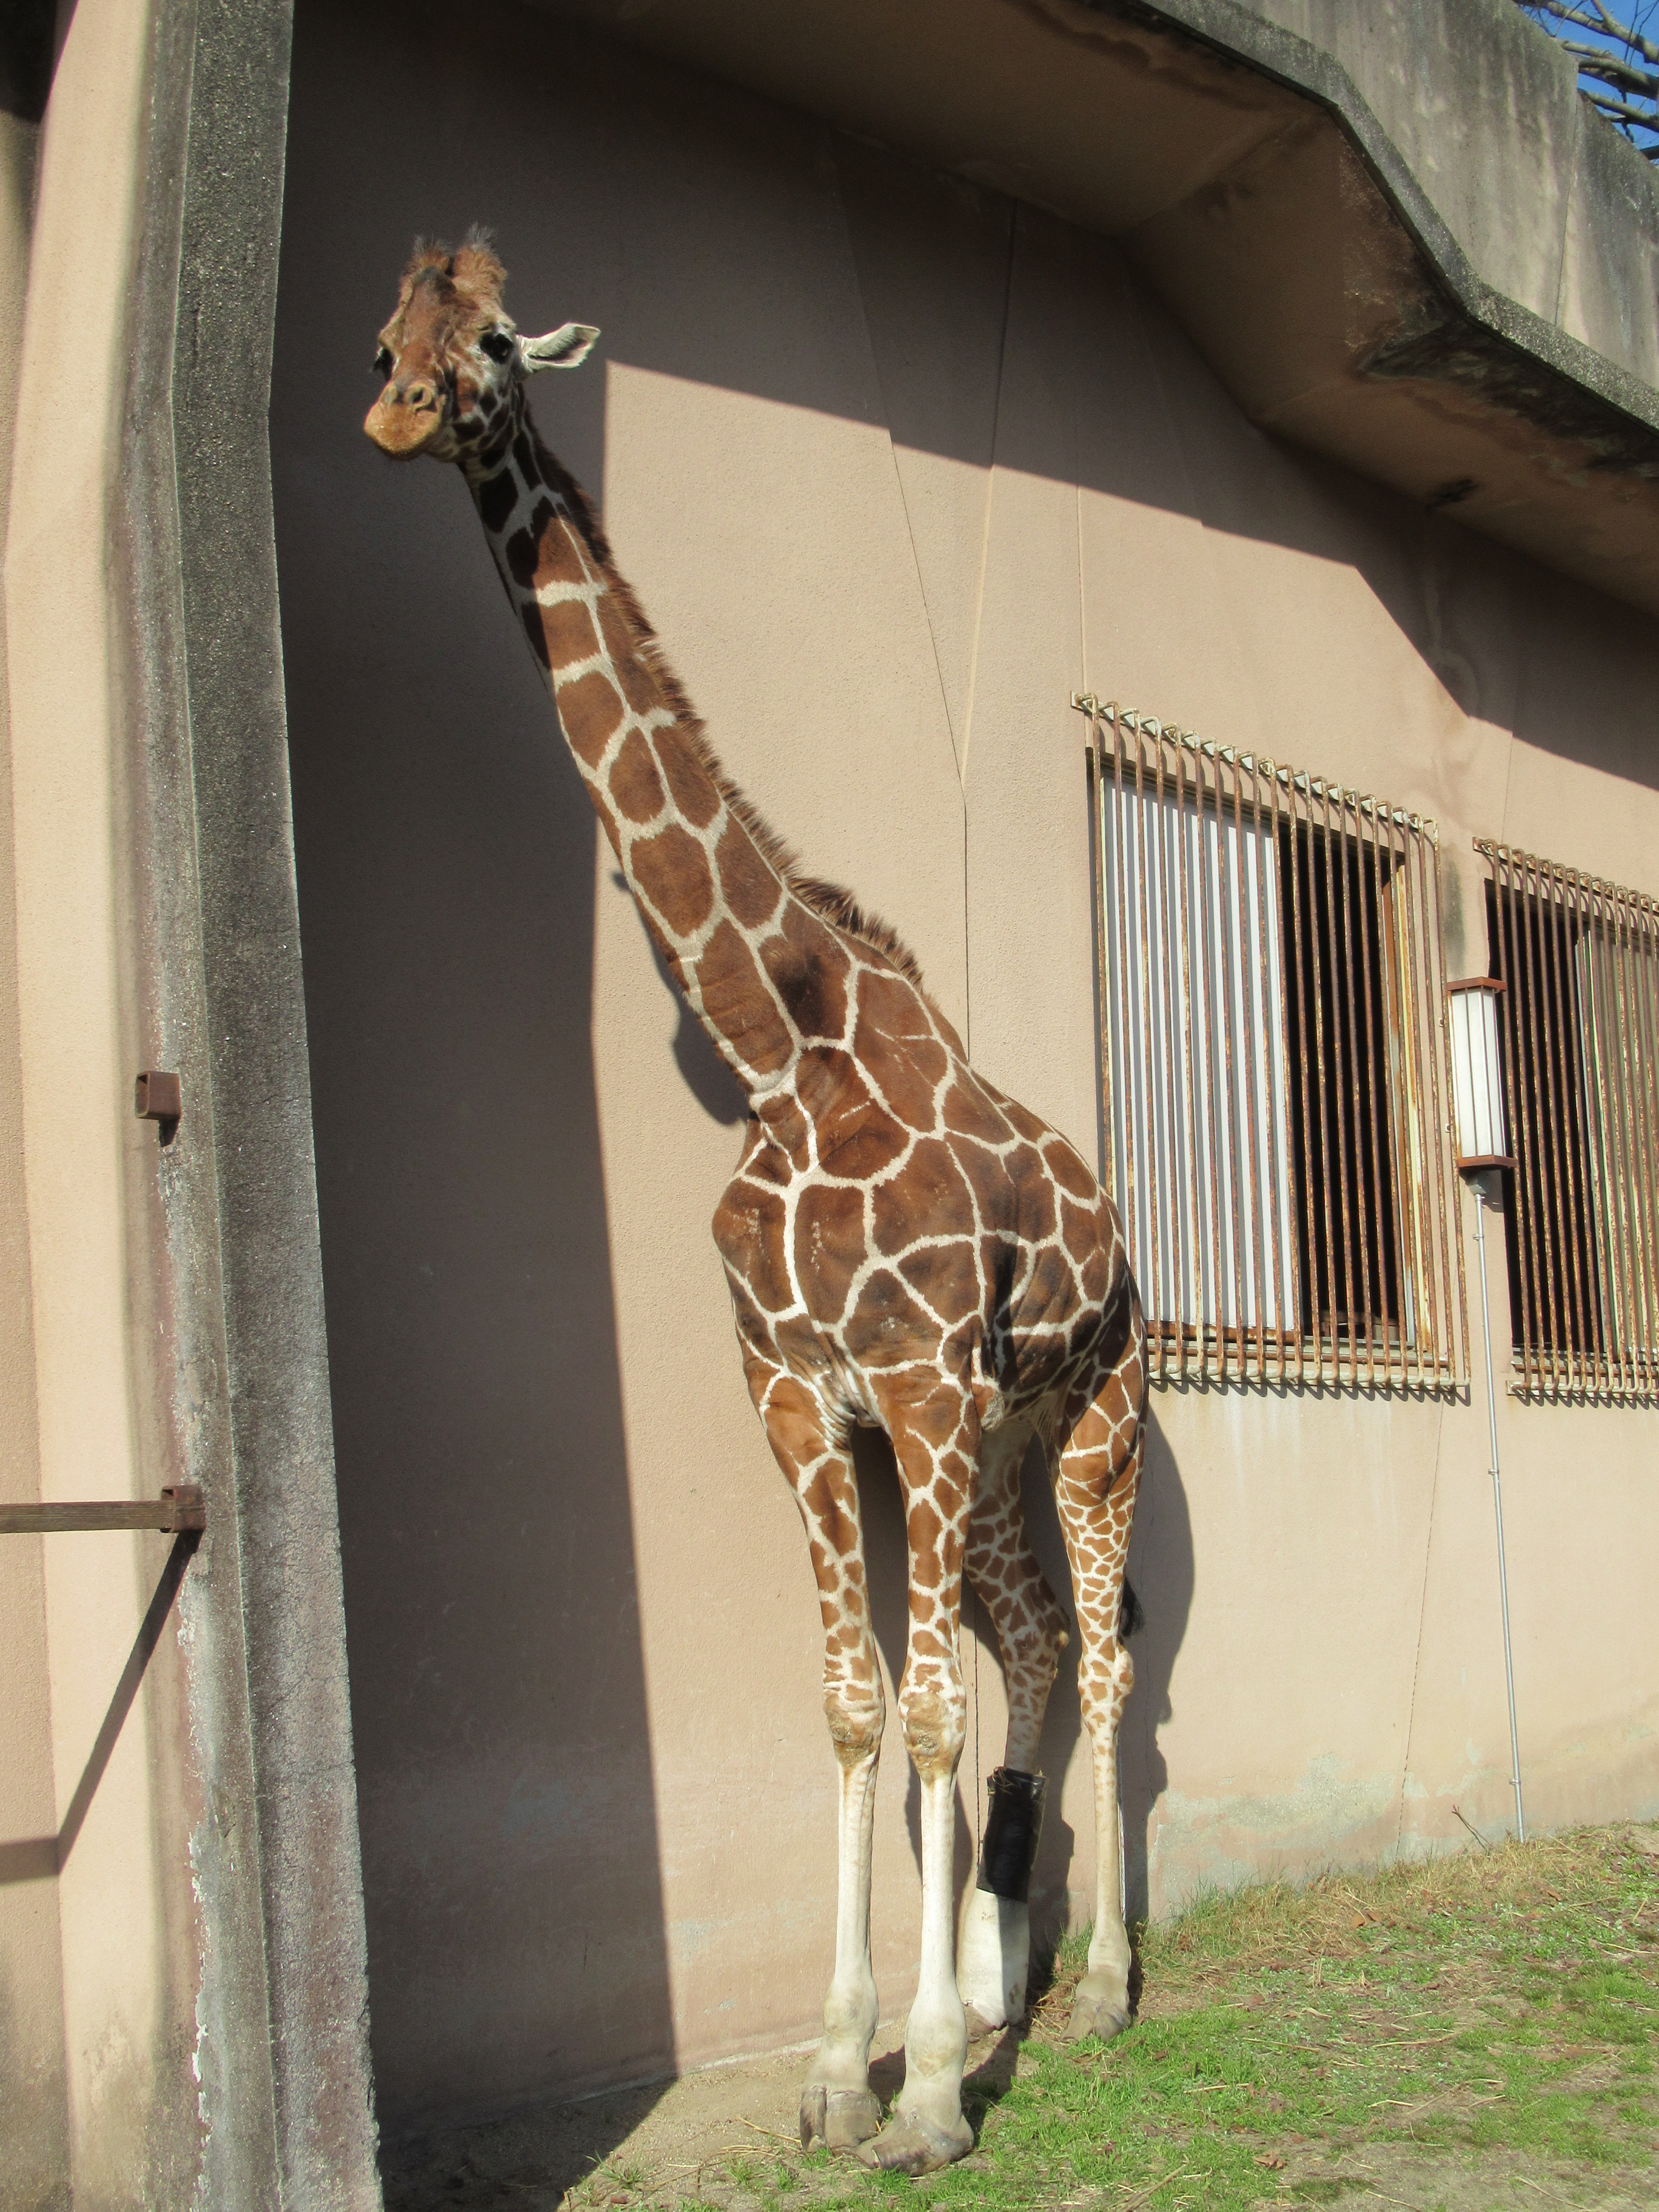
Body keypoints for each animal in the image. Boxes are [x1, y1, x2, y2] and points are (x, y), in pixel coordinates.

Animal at [363, 242, 1141, 2176]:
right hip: (996, 1448)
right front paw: (837, 2066)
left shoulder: (914, 1385)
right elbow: (861, 1709)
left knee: (1100, 1664)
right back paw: (1013, 1979)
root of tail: (1123, 1237)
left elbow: (924, 1711)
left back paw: (1097, 1987)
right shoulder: (803, 1395)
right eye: (387, 332)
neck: (785, 1051)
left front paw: (925, 2097)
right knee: (1030, 1650)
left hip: (1092, 1420)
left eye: (494, 341)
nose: (400, 414)